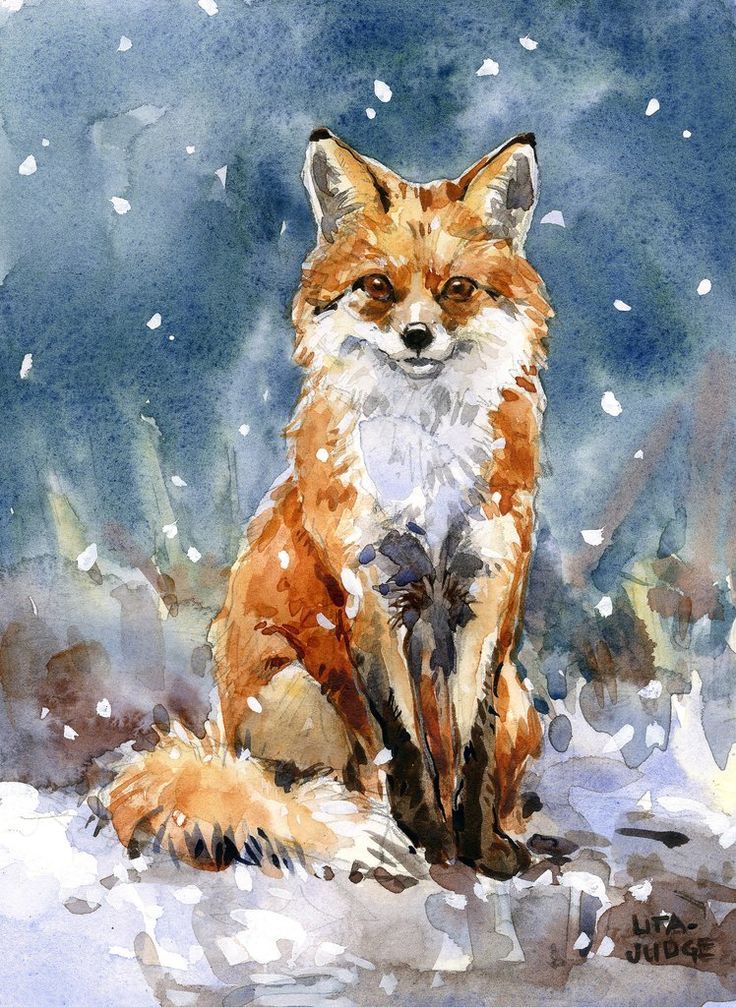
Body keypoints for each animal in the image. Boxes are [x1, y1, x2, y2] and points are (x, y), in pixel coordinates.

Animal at [106, 128, 553, 881]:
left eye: (458, 289)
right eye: (377, 287)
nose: (417, 336)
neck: (425, 462)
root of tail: (219, 737)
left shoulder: (489, 591)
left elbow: (472, 746)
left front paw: (482, 847)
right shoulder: (370, 591)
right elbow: (402, 743)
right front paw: (432, 841)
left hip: (524, 703)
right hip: (296, 690)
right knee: (305, 790)